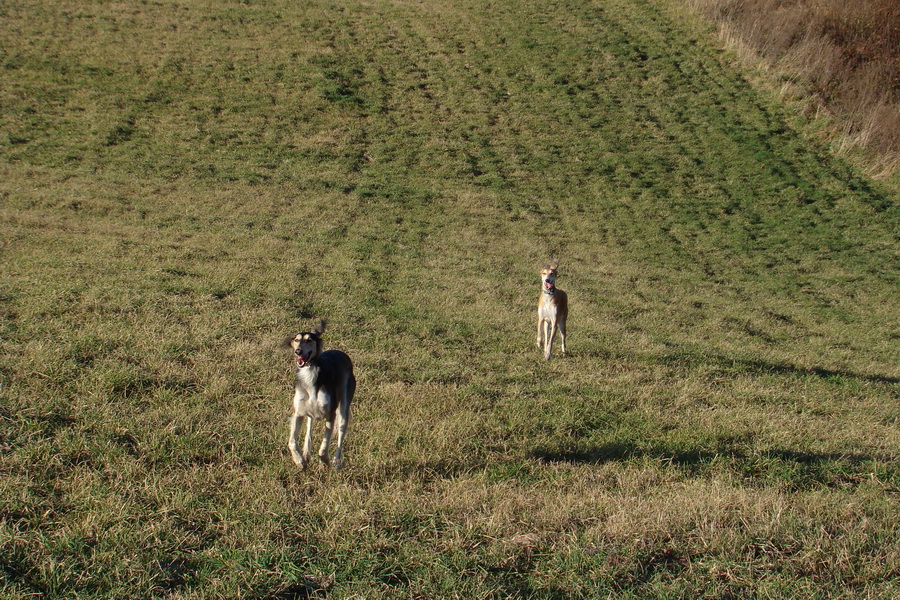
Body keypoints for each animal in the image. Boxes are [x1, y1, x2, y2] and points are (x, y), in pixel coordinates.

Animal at [282, 322, 356, 472]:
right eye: (296, 340)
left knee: (340, 436)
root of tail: (341, 353)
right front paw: (299, 460)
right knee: (309, 429)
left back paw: (336, 462)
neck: (310, 374)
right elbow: (292, 441)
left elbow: (323, 448)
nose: (298, 351)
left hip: (344, 409)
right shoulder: (298, 413)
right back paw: (306, 453)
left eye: (309, 340)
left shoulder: (331, 415)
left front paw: (325, 461)